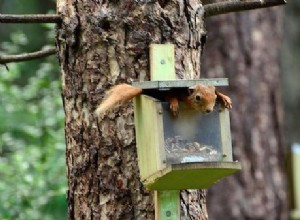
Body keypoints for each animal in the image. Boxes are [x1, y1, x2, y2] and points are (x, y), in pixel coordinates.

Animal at [96, 83, 232, 117]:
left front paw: (225, 98)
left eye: (214, 98)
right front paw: (174, 105)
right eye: (198, 97)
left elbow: (218, 92)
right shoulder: (176, 92)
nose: (209, 110)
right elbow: (170, 96)